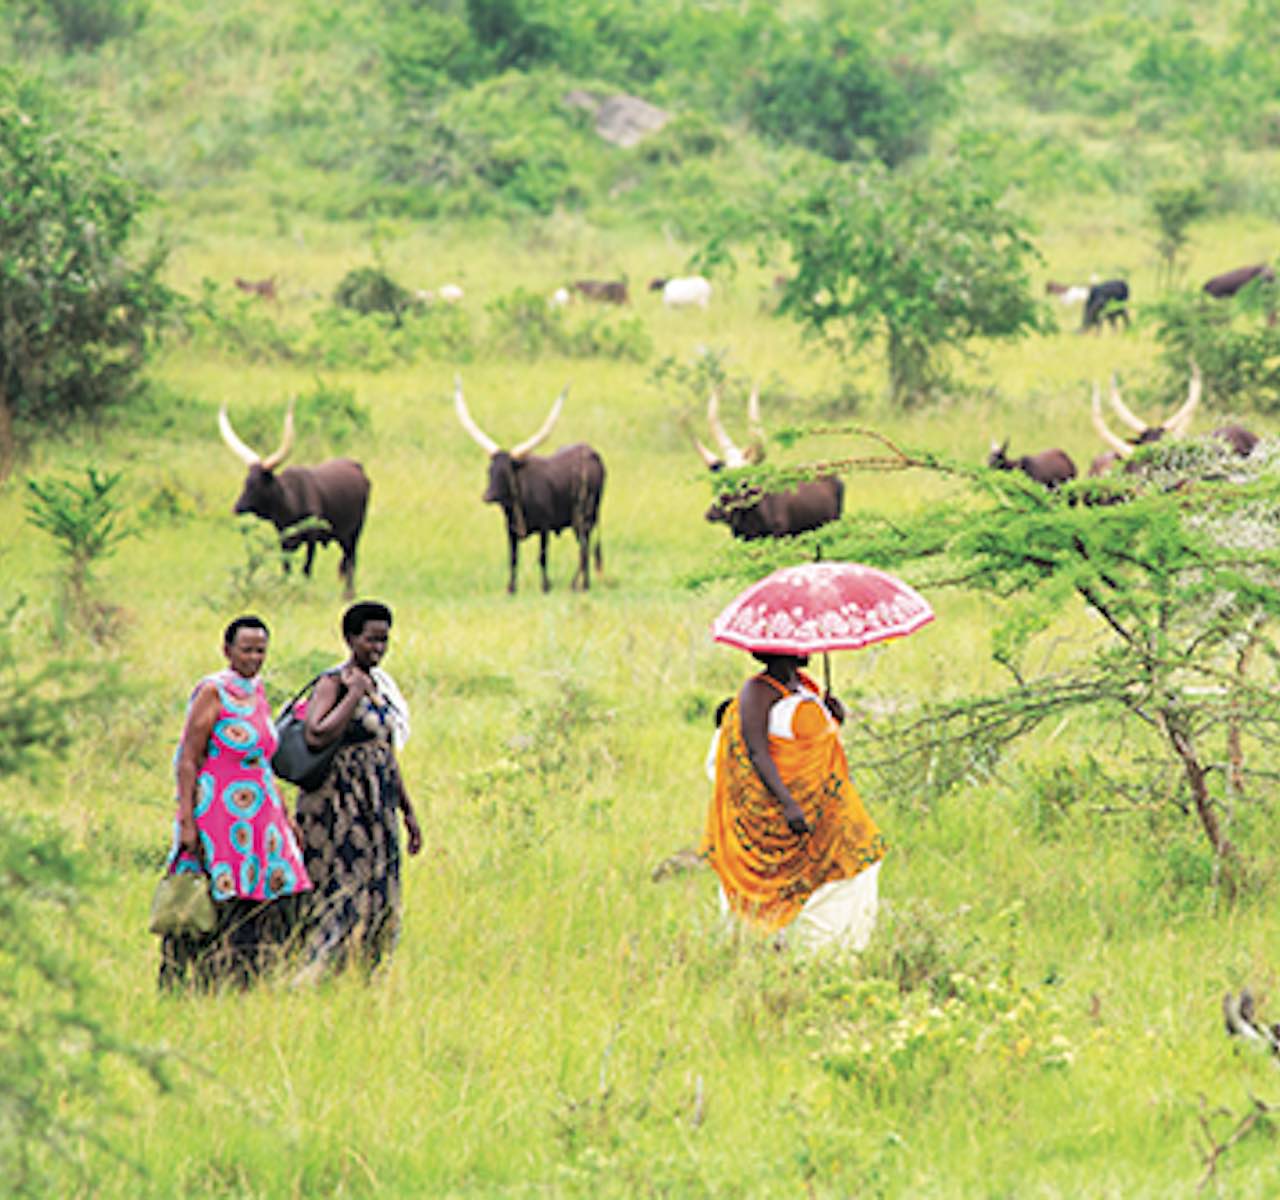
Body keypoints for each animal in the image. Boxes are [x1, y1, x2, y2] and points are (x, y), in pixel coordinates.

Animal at [218, 401, 371, 593]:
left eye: (258, 484)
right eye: (245, 482)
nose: (236, 508)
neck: (291, 503)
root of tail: (357, 467)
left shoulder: (312, 538)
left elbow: (306, 568)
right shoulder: (284, 539)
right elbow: (286, 568)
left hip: (354, 533)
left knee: (350, 562)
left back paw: (349, 595)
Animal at [455, 376, 604, 591]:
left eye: (506, 473)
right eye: (489, 471)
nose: (487, 496)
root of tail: (591, 452)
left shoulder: (544, 528)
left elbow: (542, 557)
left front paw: (546, 587)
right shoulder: (510, 531)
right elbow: (513, 559)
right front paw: (511, 589)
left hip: (585, 516)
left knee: (584, 548)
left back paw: (580, 585)